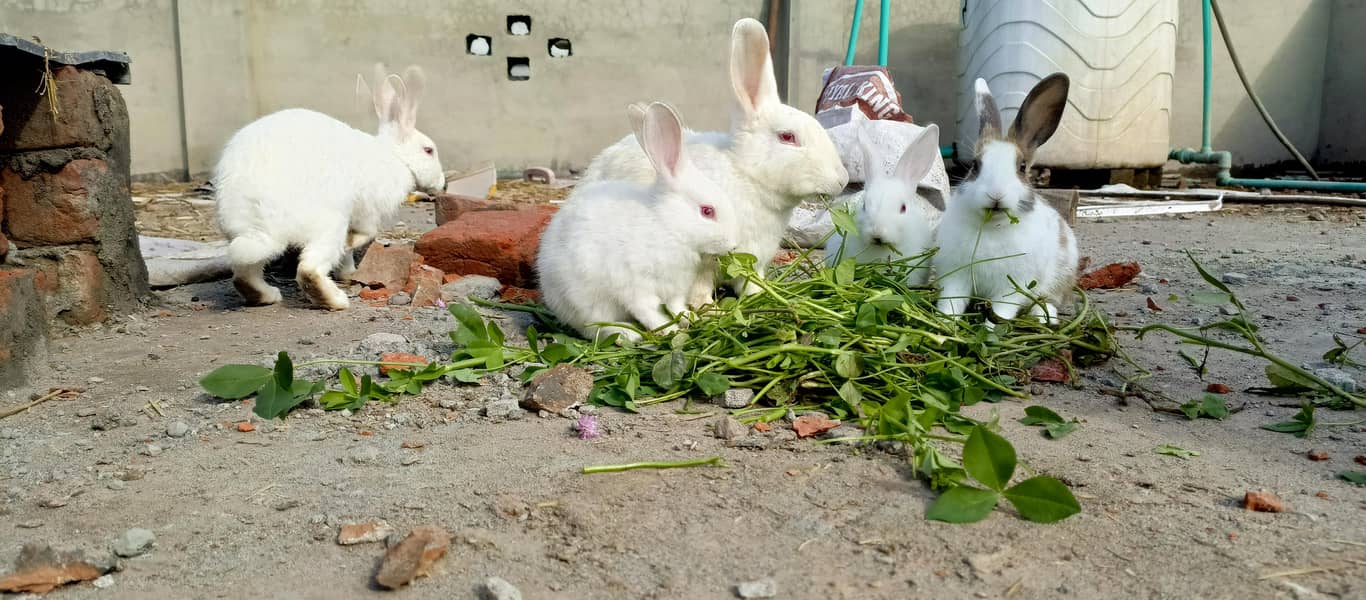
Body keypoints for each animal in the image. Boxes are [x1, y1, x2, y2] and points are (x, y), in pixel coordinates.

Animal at [213, 63, 444, 310]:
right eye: (428, 150)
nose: (443, 183)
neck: (395, 157)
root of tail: (262, 224)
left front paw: (349, 272)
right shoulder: (368, 209)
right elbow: (366, 233)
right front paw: (351, 246)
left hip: (243, 239)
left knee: (244, 274)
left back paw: (268, 295)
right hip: (329, 226)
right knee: (308, 270)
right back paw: (337, 300)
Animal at [537, 102, 739, 343]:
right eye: (707, 211)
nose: (734, 244)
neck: (669, 226)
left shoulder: (675, 289)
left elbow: (676, 307)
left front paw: (690, 319)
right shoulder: (636, 287)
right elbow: (649, 312)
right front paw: (671, 331)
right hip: (586, 302)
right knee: (597, 328)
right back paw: (629, 334)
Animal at [580, 18, 848, 305]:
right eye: (788, 137)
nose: (842, 179)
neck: (746, 175)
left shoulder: (753, 259)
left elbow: (750, 283)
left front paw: (760, 296)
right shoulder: (704, 261)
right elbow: (699, 287)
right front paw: (709, 307)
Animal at [934, 74, 1078, 325]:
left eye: (1022, 168)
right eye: (975, 166)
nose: (996, 194)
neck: (992, 226)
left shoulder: (1011, 288)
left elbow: (1000, 312)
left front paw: (989, 330)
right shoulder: (955, 276)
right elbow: (951, 303)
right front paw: (945, 323)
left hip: (1060, 277)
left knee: (1048, 301)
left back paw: (1044, 318)